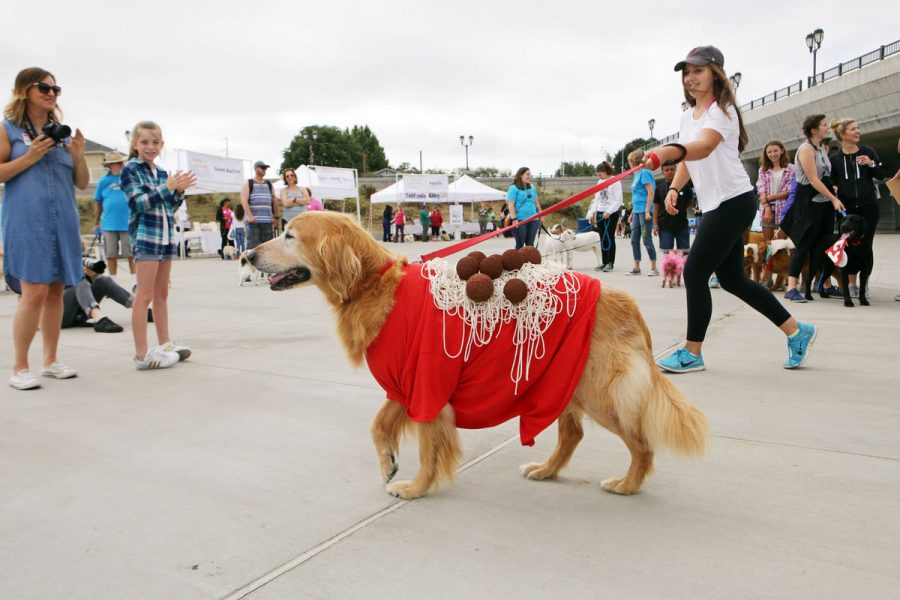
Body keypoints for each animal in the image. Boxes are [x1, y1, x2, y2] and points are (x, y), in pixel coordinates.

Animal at [248, 213, 712, 500]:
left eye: (290, 235)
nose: (248, 255)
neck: (377, 286)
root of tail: (624, 301)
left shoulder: (428, 383)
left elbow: (429, 447)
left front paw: (416, 487)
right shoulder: (406, 383)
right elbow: (378, 426)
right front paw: (388, 465)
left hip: (601, 391)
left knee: (641, 442)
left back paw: (628, 484)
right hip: (564, 380)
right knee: (572, 434)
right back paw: (546, 470)